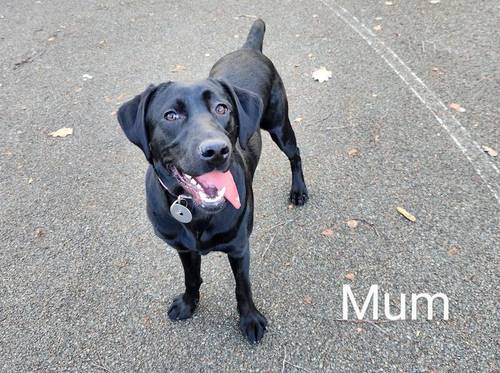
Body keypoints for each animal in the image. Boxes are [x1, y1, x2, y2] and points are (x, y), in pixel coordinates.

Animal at [118, 18, 308, 342]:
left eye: (222, 108)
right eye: (171, 115)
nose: (217, 150)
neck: (196, 211)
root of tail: (248, 48)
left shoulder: (239, 247)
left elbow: (243, 287)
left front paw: (250, 319)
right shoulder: (183, 248)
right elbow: (191, 277)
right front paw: (188, 303)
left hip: (279, 124)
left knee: (295, 155)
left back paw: (299, 190)